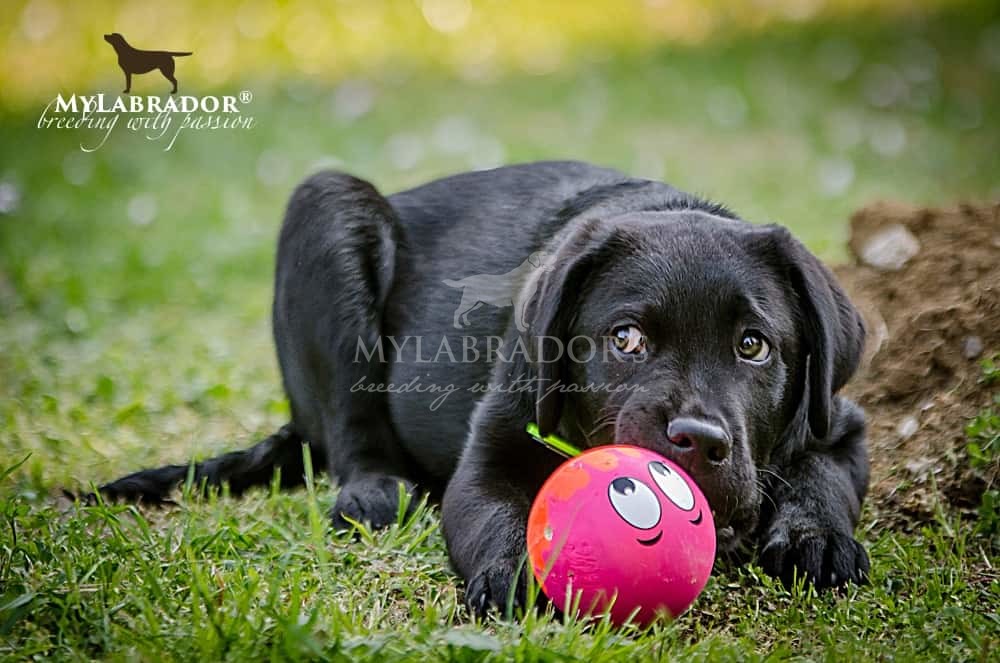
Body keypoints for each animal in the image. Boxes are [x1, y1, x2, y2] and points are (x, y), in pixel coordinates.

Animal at [97, 161, 872, 616]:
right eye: (626, 339)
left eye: (753, 345)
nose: (696, 441)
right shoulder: (490, 453)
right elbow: (498, 515)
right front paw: (516, 576)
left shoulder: (841, 424)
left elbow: (822, 477)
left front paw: (817, 541)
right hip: (327, 208)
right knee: (351, 428)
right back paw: (374, 492)